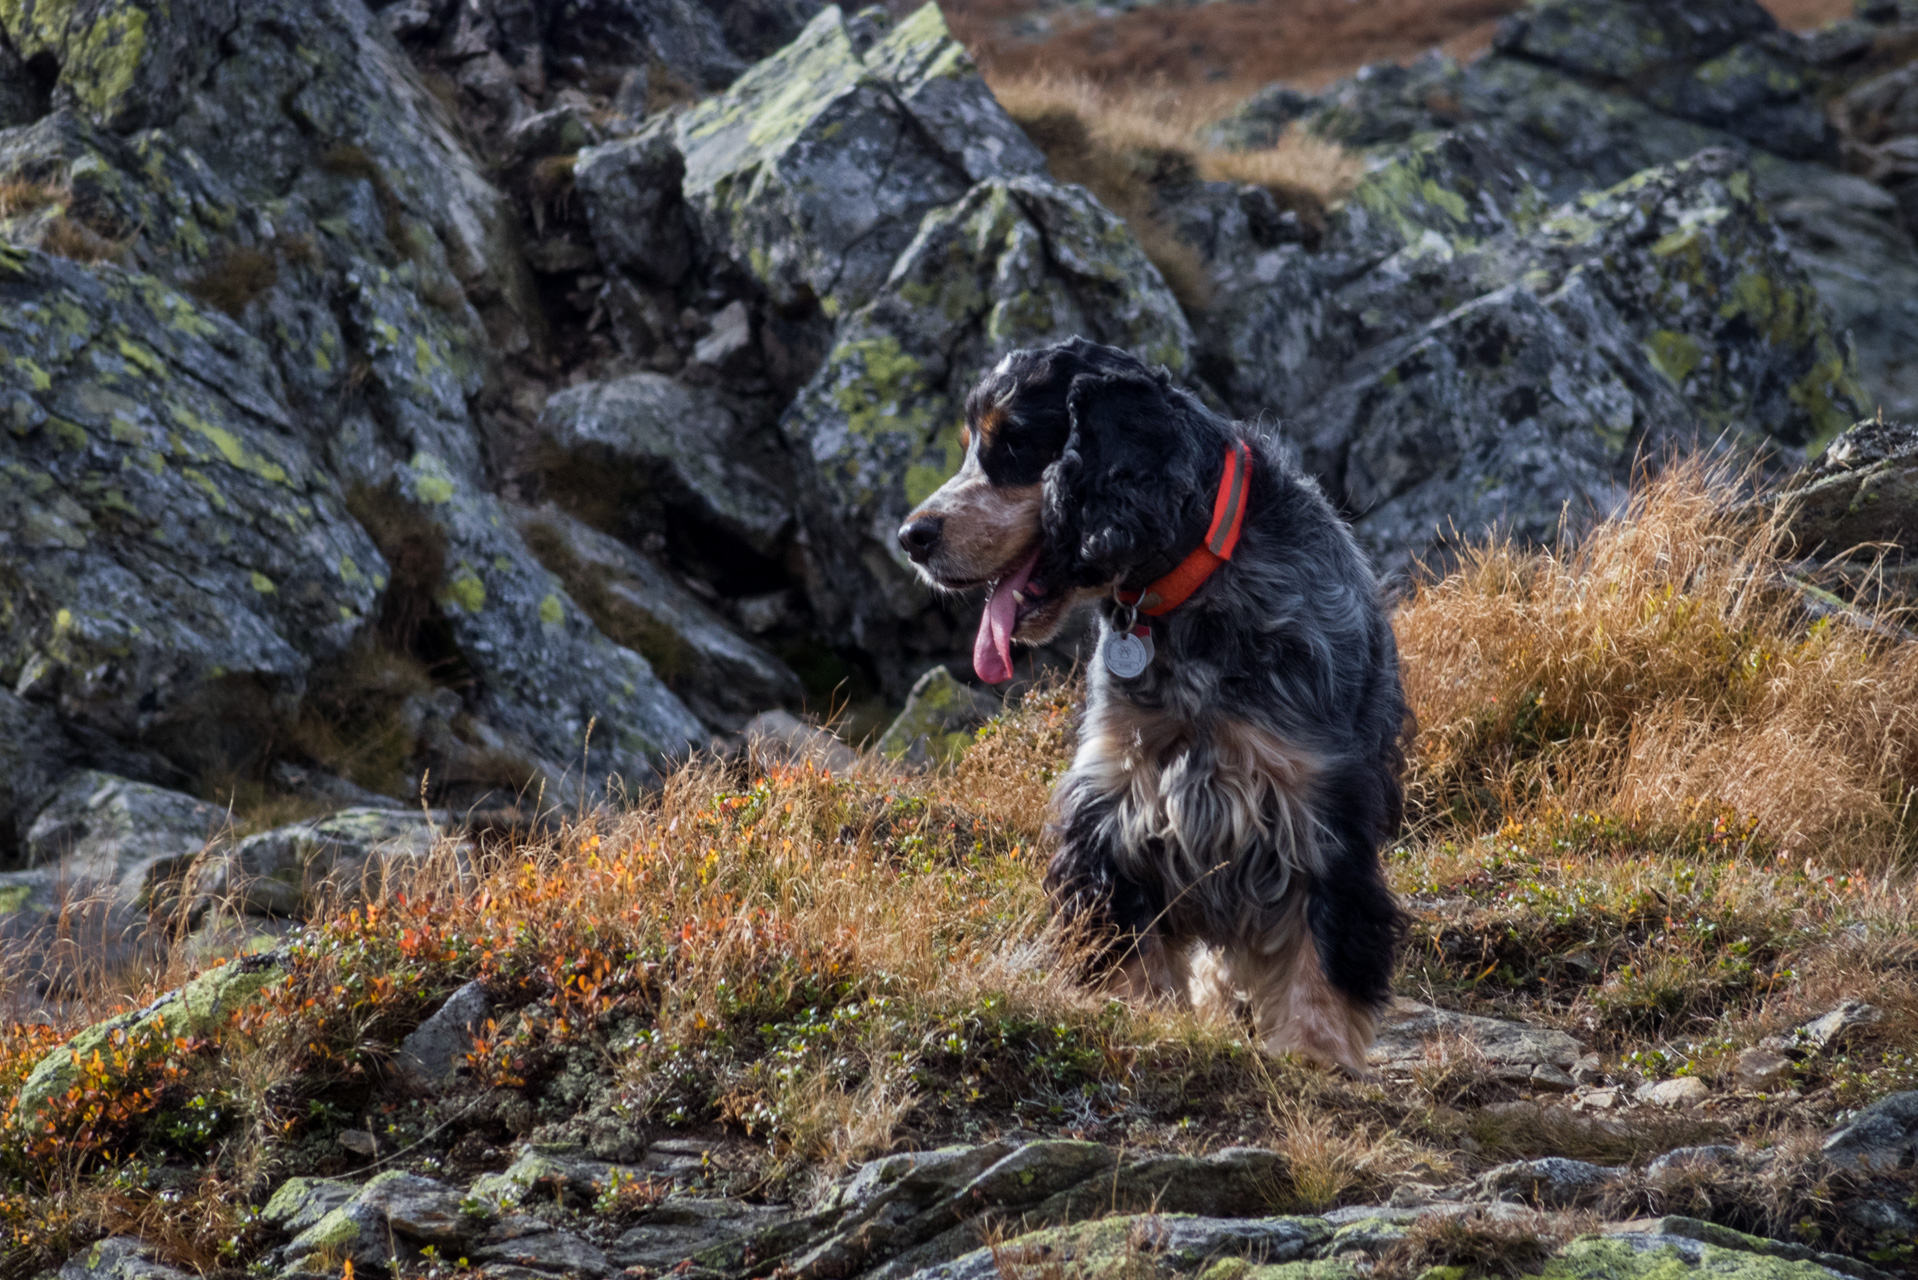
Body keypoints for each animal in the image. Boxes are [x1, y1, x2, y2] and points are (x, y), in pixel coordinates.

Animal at [897, 337, 1411, 1074]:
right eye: (970, 447)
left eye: (1014, 441)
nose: (911, 535)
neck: (1187, 593)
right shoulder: (1114, 797)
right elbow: (1124, 933)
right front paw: (1141, 1017)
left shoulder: (1315, 795)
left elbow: (1324, 938)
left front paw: (1316, 1051)